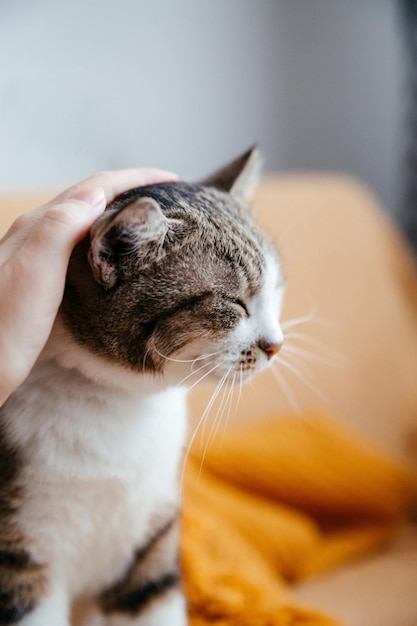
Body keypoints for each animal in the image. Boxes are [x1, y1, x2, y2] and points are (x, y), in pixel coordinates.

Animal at [0, 147, 282, 624]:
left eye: (276, 292)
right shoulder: (19, 563)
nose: (277, 345)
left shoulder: (150, 548)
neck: (123, 405)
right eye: (234, 303)